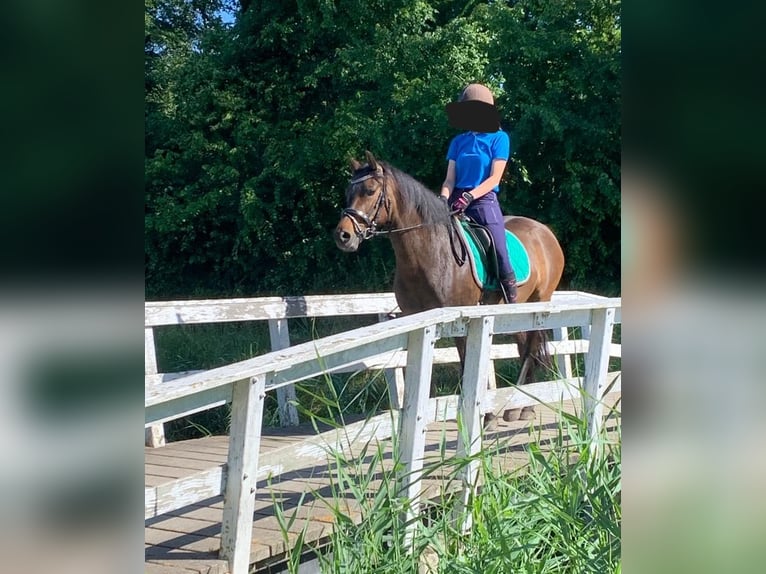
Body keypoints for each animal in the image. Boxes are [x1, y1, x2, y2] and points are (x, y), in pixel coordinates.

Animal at [332, 153, 568, 424]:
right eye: (348, 192)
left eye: (370, 190)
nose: (343, 236)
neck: (429, 254)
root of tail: (545, 232)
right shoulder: (417, 320)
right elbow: (423, 371)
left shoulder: (462, 320)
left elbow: (468, 366)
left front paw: (483, 416)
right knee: (523, 347)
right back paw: (520, 406)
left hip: (538, 302)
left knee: (530, 350)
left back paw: (518, 407)